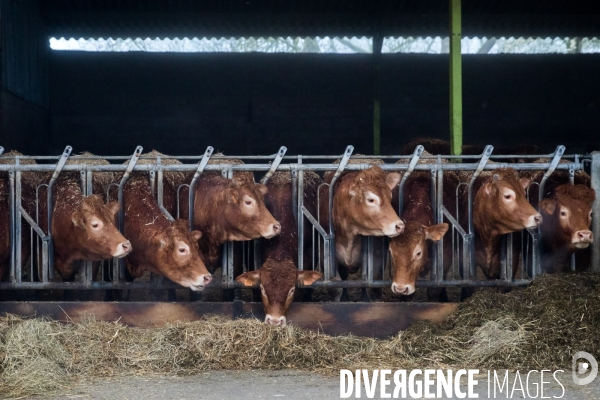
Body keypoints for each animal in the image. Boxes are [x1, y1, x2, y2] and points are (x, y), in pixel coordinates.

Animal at [318, 162, 404, 300]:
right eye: (371, 199)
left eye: (390, 197)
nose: (399, 225)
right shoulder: (325, 255)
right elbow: (336, 288)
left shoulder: (377, 256)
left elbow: (372, 287)